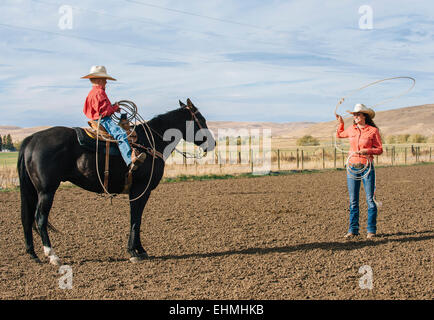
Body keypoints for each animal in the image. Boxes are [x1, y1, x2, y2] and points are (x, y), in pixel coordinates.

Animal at [18, 99, 215, 264]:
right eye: (201, 119)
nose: (212, 143)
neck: (151, 142)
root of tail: (32, 139)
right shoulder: (141, 189)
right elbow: (136, 219)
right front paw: (134, 252)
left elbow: (136, 219)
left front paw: (139, 250)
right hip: (47, 191)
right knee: (40, 218)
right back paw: (52, 256)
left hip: (34, 191)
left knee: (27, 218)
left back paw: (33, 255)